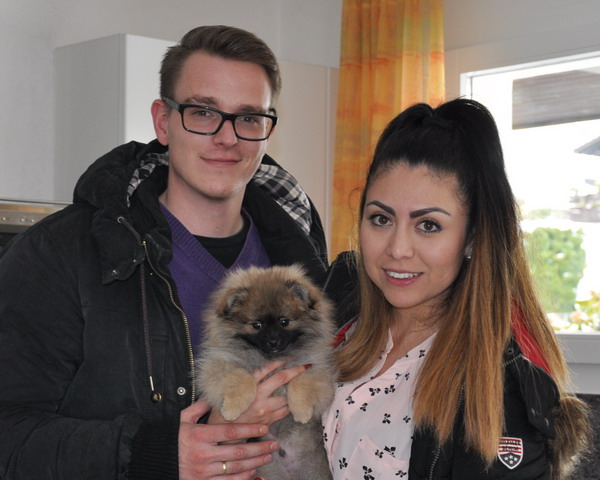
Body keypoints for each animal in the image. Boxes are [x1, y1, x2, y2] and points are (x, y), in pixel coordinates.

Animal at [195, 264, 336, 480]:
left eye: (284, 321)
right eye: (257, 325)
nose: (273, 341)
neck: (269, 359)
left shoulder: (318, 368)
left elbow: (301, 381)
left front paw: (302, 411)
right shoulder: (221, 363)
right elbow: (241, 378)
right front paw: (232, 409)